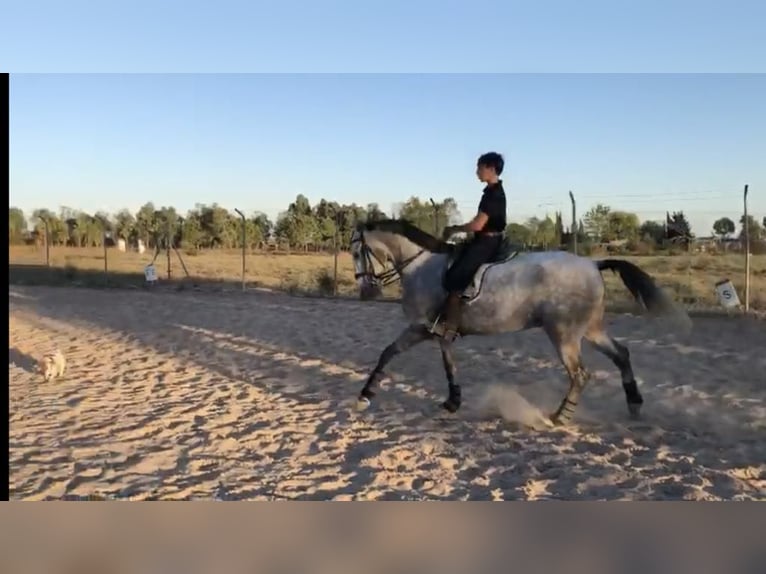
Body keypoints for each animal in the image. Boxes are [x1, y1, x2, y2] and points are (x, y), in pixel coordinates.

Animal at [350, 219, 688, 428]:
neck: (420, 265)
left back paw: (558, 417)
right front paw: (367, 395)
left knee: (580, 374)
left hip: (564, 334)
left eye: (357, 251)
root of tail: (593, 264)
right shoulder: (435, 332)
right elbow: (412, 357)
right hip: (590, 329)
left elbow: (400, 354)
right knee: (621, 354)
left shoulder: (423, 327)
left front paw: (367, 395)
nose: (366, 292)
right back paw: (634, 404)